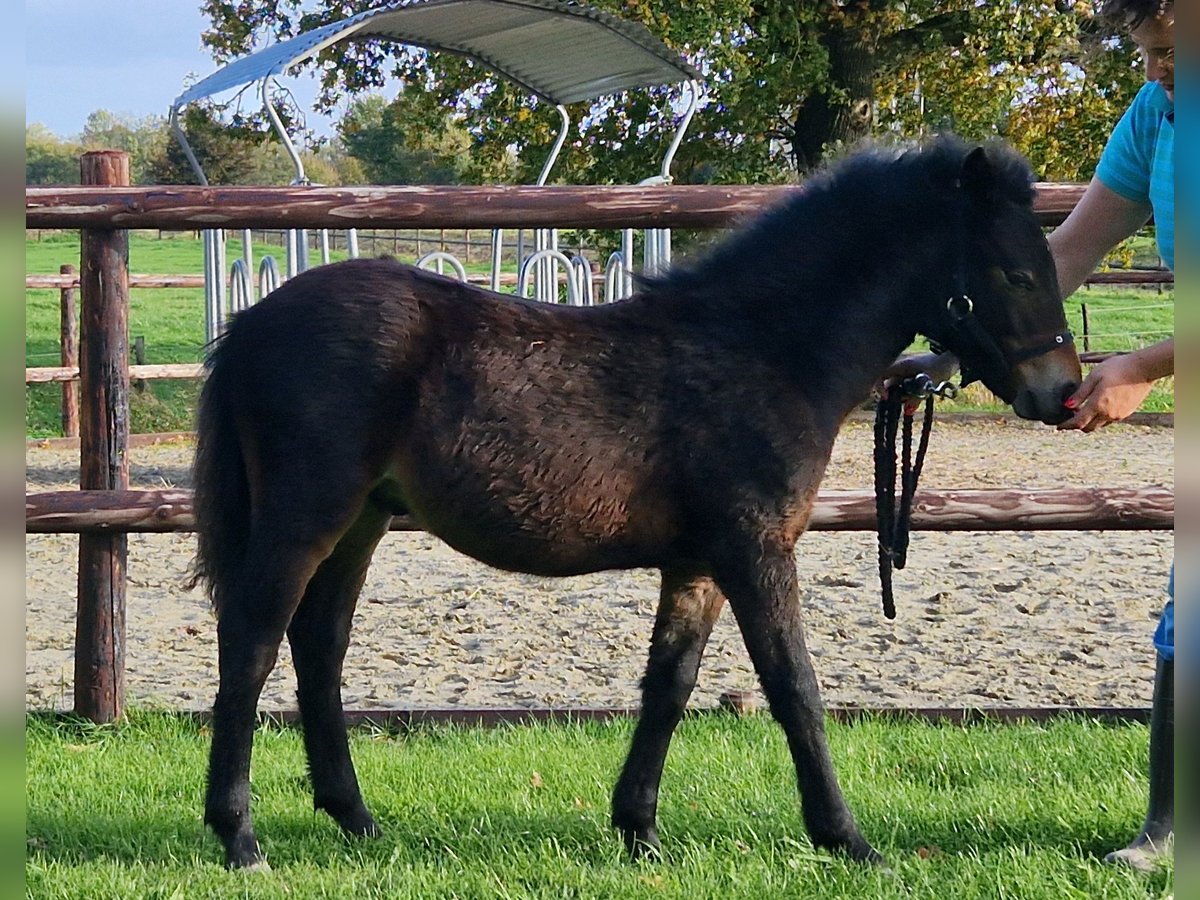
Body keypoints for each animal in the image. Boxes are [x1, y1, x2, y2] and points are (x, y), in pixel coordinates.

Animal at [190, 135, 1081, 869]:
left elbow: (669, 685)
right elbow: (794, 685)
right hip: (307, 513)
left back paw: (357, 819)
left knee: (319, 645)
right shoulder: (755, 550)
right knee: (253, 644)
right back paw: (240, 839)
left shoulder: (698, 565)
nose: (1063, 391)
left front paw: (640, 830)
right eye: (1014, 273)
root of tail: (253, 321)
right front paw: (848, 840)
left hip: (363, 520)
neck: (762, 351)